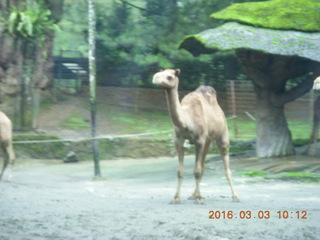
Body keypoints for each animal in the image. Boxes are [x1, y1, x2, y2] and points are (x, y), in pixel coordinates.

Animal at [153, 68, 240, 203]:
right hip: (207, 142)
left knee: (226, 165)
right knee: (203, 165)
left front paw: (199, 199)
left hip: (222, 135)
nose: (155, 78)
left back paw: (235, 196)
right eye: (159, 73)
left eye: (169, 77)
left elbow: (197, 171)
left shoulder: (199, 140)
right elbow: (181, 171)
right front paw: (176, 198)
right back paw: (193, 194)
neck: (187, 119)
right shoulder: (178, 140)